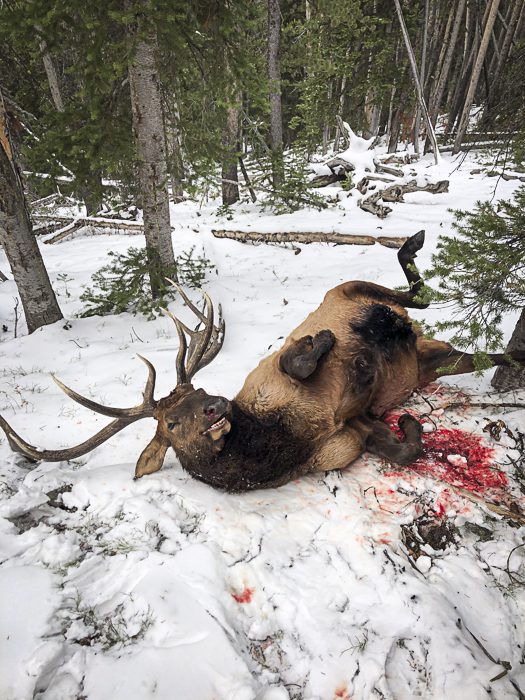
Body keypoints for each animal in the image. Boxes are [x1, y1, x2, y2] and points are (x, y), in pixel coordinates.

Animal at [1, 231, 523, 492]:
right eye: (170, 424)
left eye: (199, 391)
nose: (215, 406)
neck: (278, 442)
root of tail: (413, 338)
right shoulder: (350, 434)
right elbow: (402, 450)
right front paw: (411, 425)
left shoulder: (273, 368)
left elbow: (298, 358)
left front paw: (325, 340)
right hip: (431, 358)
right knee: (465, 337)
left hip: (352, 290)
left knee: (415, 292)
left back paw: (410, 244)